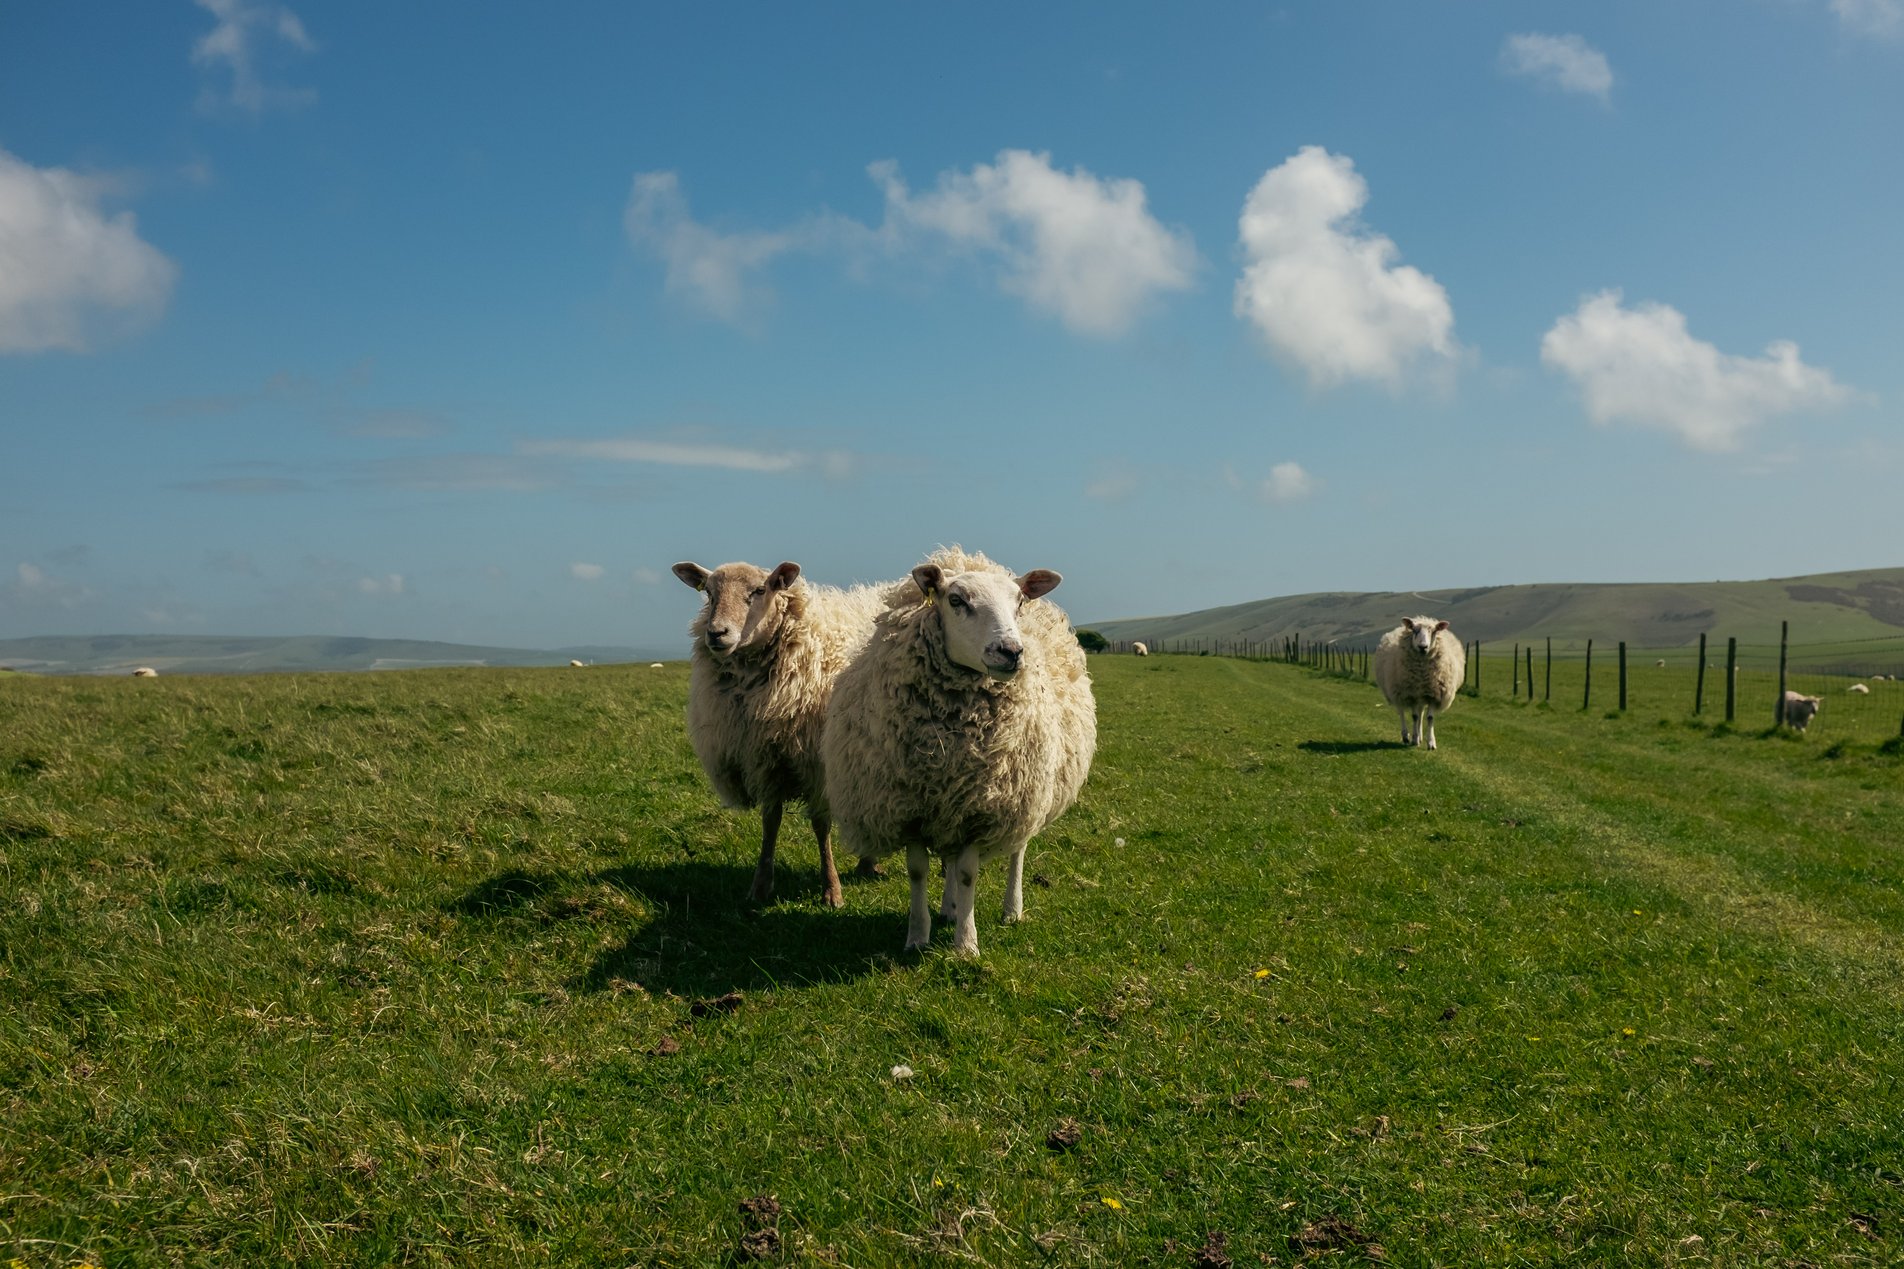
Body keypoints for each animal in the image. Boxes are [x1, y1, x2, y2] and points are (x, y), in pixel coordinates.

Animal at [673, 559, 893, 908]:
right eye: (708, 593)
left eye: (759, 590)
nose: (716, 633)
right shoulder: (765, 759)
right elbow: (770, 822)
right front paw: (761, 886)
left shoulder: (816, 764)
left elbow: (821, 825)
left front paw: (831, 889)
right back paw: (868, 862)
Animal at [822, 547, 1096, 958]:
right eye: (956, 600)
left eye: (1019, 602)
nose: (1011, 652)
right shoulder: (911, 807)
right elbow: (918, 871)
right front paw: (917, 936)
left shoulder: (979, 809)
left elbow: (969, 873)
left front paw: (966, 945)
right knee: (950, 859)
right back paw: (949, 907)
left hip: (1024, 791)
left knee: (1017, 850)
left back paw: (1011, 909)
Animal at [1373, 616, 1466, 750]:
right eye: (1414, 630)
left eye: (1433, 631)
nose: (1423, 646)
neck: (1422, 673)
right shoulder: (1411, 694)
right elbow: (1414, 717)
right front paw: (1414, 739)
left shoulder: (1433, 694)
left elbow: (1429, 717)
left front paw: (1431, 742)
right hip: (1397, 690)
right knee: (1401, 711)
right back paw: (1406, 736)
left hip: (1421, 695)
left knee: (1421, 713)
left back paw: (1420, 735)